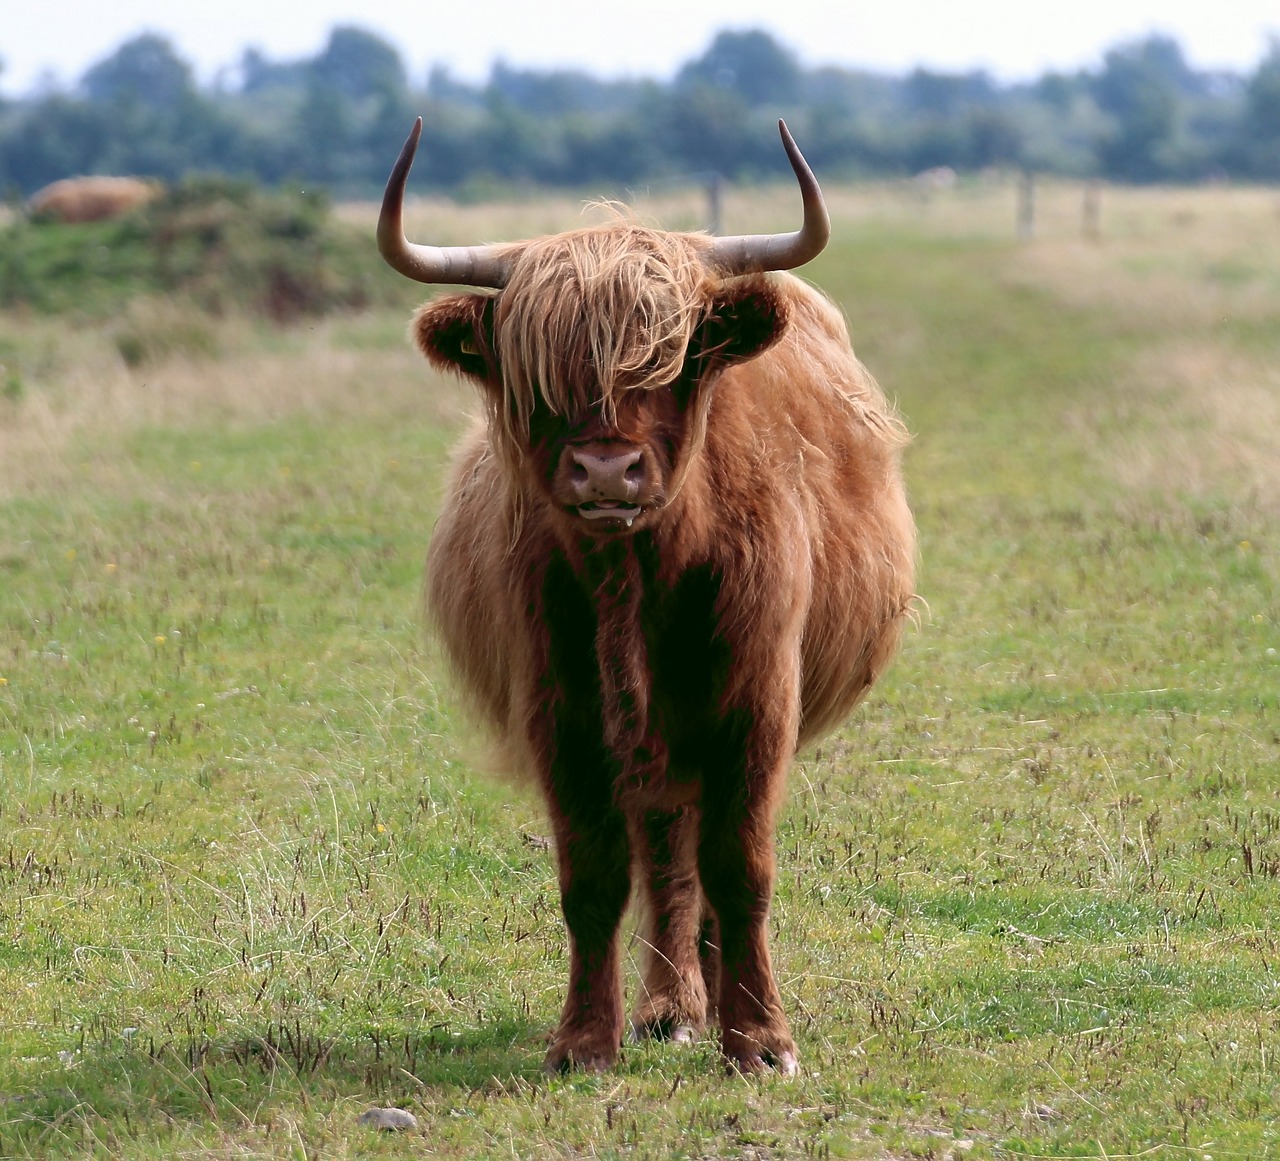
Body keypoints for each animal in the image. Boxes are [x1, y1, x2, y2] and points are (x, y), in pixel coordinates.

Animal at [373, 120, 916, 1080]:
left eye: (674, 360)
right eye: (537, 373)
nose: (605, 470)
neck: (637, 577)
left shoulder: (757, 699)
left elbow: (743, 867)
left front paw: (762, 1039)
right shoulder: (561, 708)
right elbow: (593, 875)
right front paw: (586, 1039)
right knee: (666, 853)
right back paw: (672, 1004)